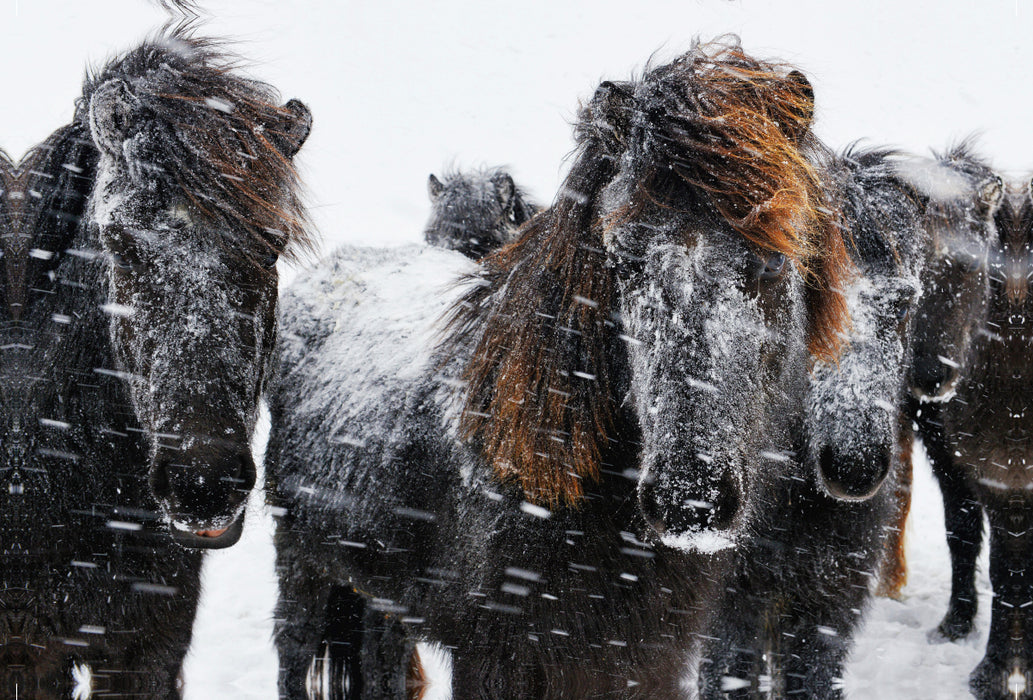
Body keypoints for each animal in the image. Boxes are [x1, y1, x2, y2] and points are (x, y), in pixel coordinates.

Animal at [268, 39, 855, 700]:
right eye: (622, 256)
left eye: (776, 258)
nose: (690, 498)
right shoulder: (497, 662)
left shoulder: (639, 666)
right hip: (301, 569)